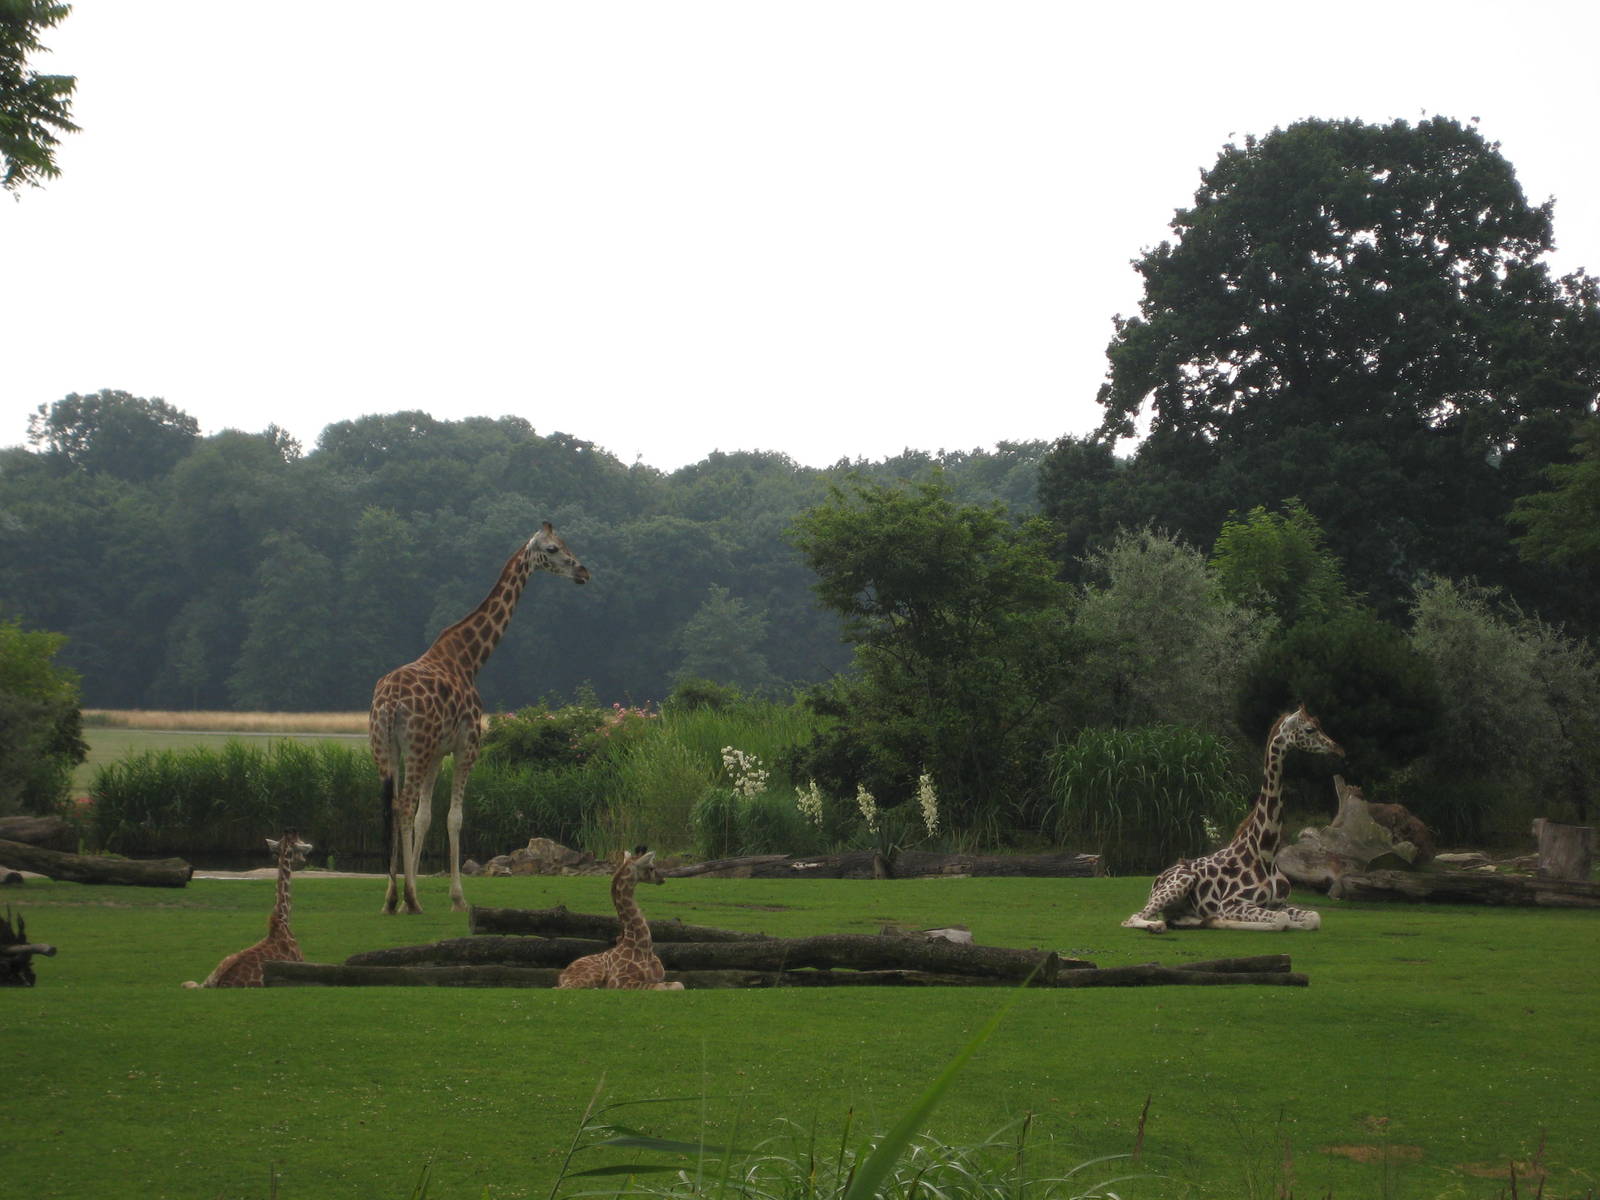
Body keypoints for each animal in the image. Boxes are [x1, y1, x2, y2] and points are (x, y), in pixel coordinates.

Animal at [183, 831, 311, 987]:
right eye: (301, 843)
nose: (309, 849)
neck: (283, 920)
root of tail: (220, 984)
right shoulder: (301, 963)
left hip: (217, 968)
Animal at [371, 522, 588, 915]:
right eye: (552, 548)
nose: (583, 572)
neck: (470, 658)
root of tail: (390, 703)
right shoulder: (467, 746)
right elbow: (453, 817)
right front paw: (457, 898)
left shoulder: (438, 752)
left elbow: (426, 816)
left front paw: (418, 893)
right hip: (414, 748)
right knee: (403, 806)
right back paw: (409, 899)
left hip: (385, 749)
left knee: (392, 807)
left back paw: (392, 899)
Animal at [556, 846, 685, 990]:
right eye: (651, 867)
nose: (662, 879)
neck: (644, 949)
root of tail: (562, 975)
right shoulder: (617, 980)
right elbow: (660, 987)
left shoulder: (659, 977)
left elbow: (679, 984)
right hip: (593, 973)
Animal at [1121, 705, 1344, 933]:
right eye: (1309, 730)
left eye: (1319, 725)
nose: (1338, 749)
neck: (1266, 854)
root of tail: (1157, 879)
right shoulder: (1231, 903)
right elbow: (1281, 921)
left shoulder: (1279, 903)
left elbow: (1313, 917)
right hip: (1181, 882)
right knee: (1132, 918)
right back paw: (1157, 925)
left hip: (1180, 907)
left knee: (1180, 919)